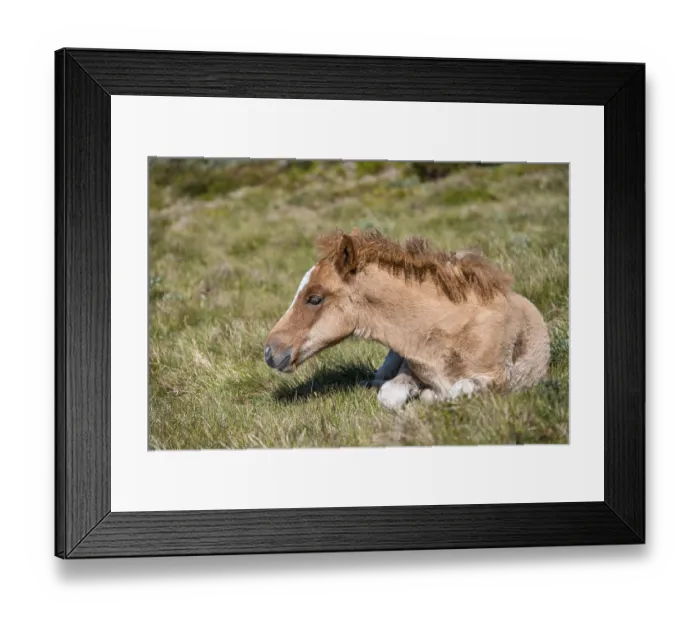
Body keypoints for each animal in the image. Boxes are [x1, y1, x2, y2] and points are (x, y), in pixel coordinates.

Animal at [263, 228, 550, 410]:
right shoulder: (407, 369)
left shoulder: (501, 379)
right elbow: (388, 395)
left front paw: (429, 396)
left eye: (314, 298)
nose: (269, 351)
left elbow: (457, 391)